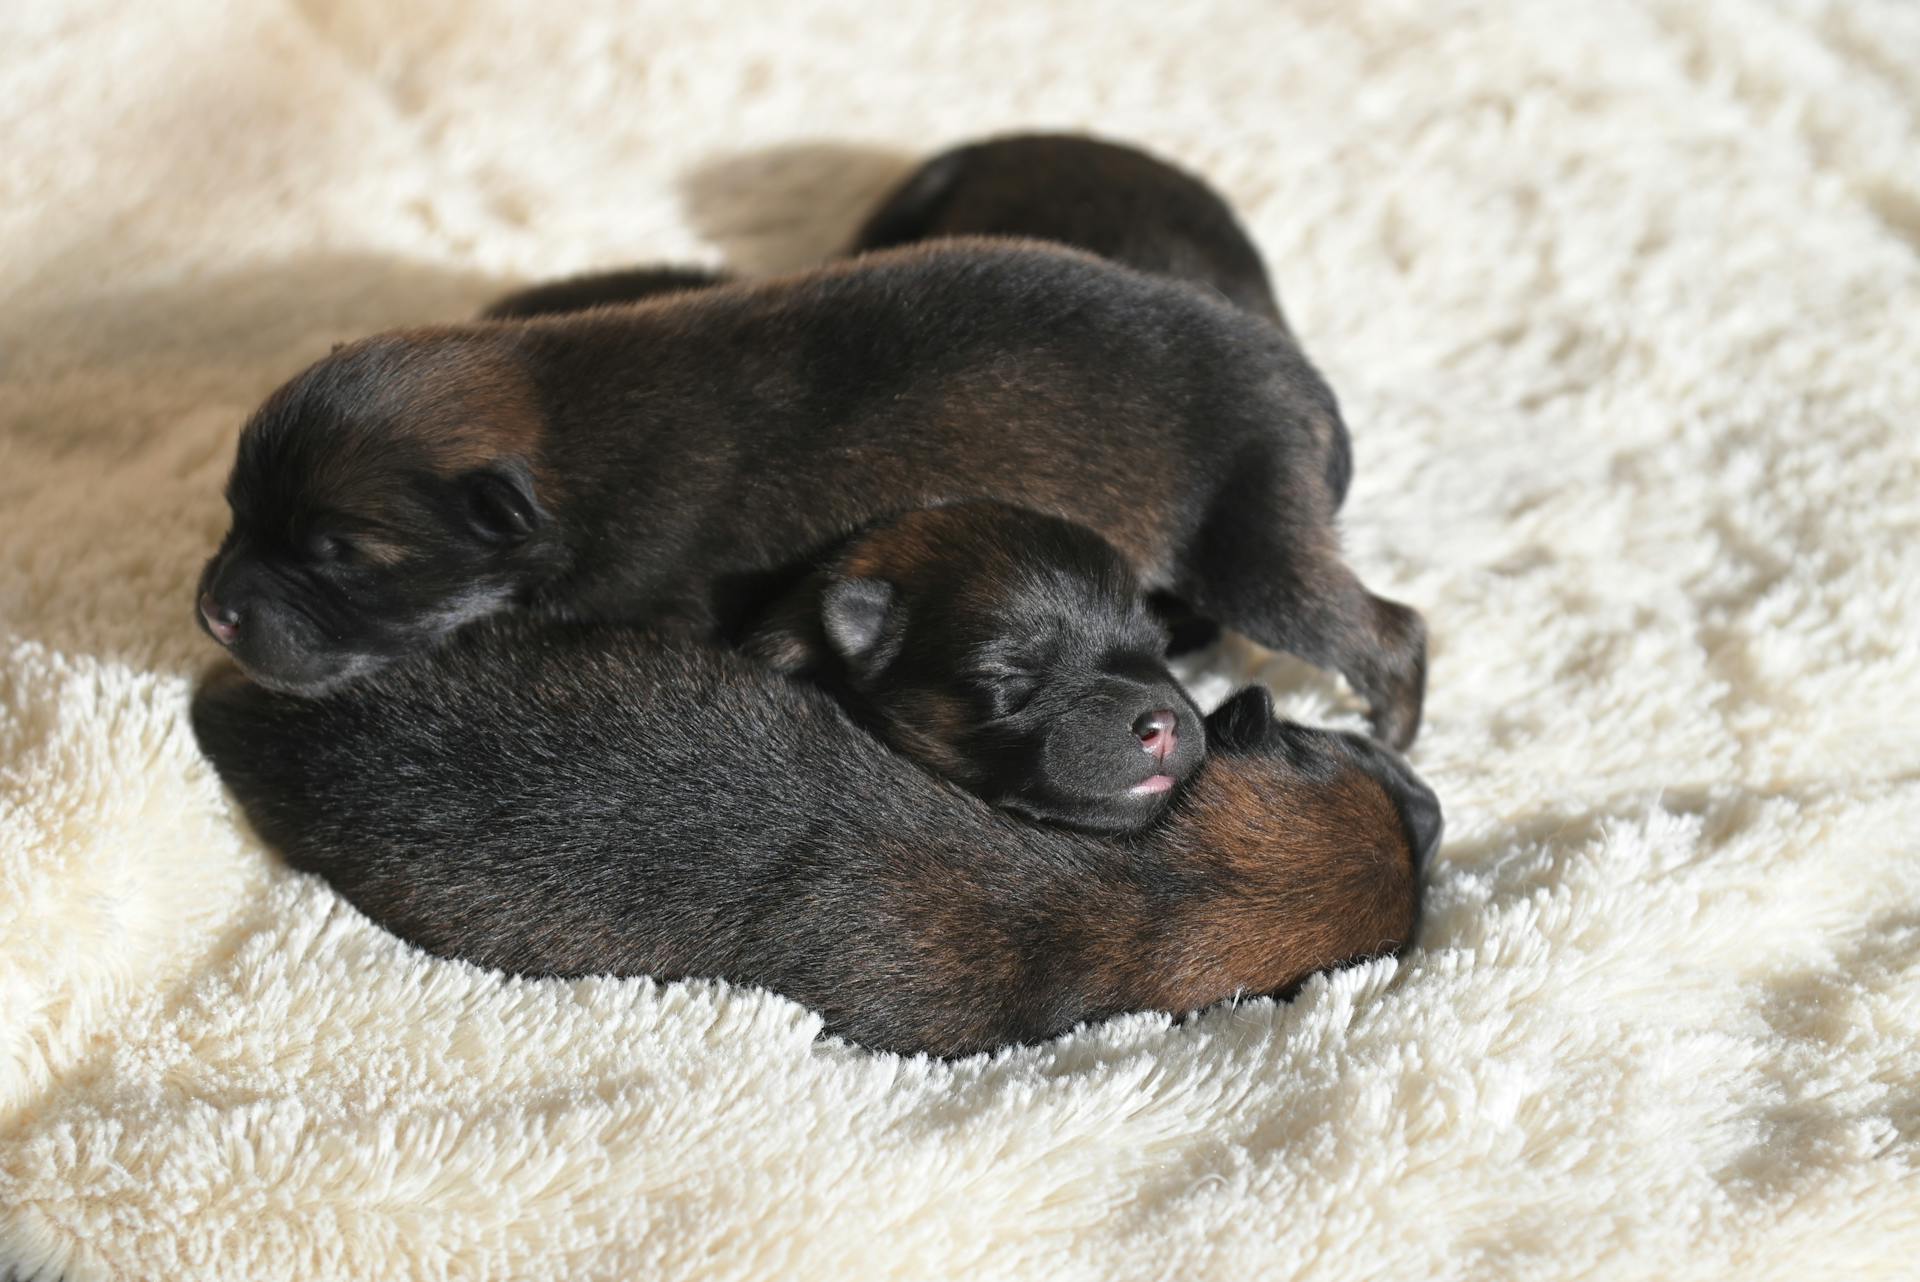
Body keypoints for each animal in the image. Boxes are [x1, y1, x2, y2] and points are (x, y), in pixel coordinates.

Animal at [198, 237, 1428, 744]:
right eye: (234, 510)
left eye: (336, 555)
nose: (209, 610)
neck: (564, 431)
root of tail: (1307, 387)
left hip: (1252, 539)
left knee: (1383, 626)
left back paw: (1398, 723)